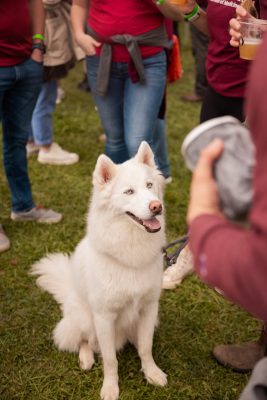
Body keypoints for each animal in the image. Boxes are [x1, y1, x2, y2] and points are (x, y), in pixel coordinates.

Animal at [31, 142, 168, 398]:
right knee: (84, 341)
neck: (130, 253)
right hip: (85, 319)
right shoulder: (104, 318)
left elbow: (146, 347)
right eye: (129, 192)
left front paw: (151, 372)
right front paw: (111, 388)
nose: (157, 207)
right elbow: (110, 360)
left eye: (149, 185)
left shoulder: (149, 308)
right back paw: (86, 359)